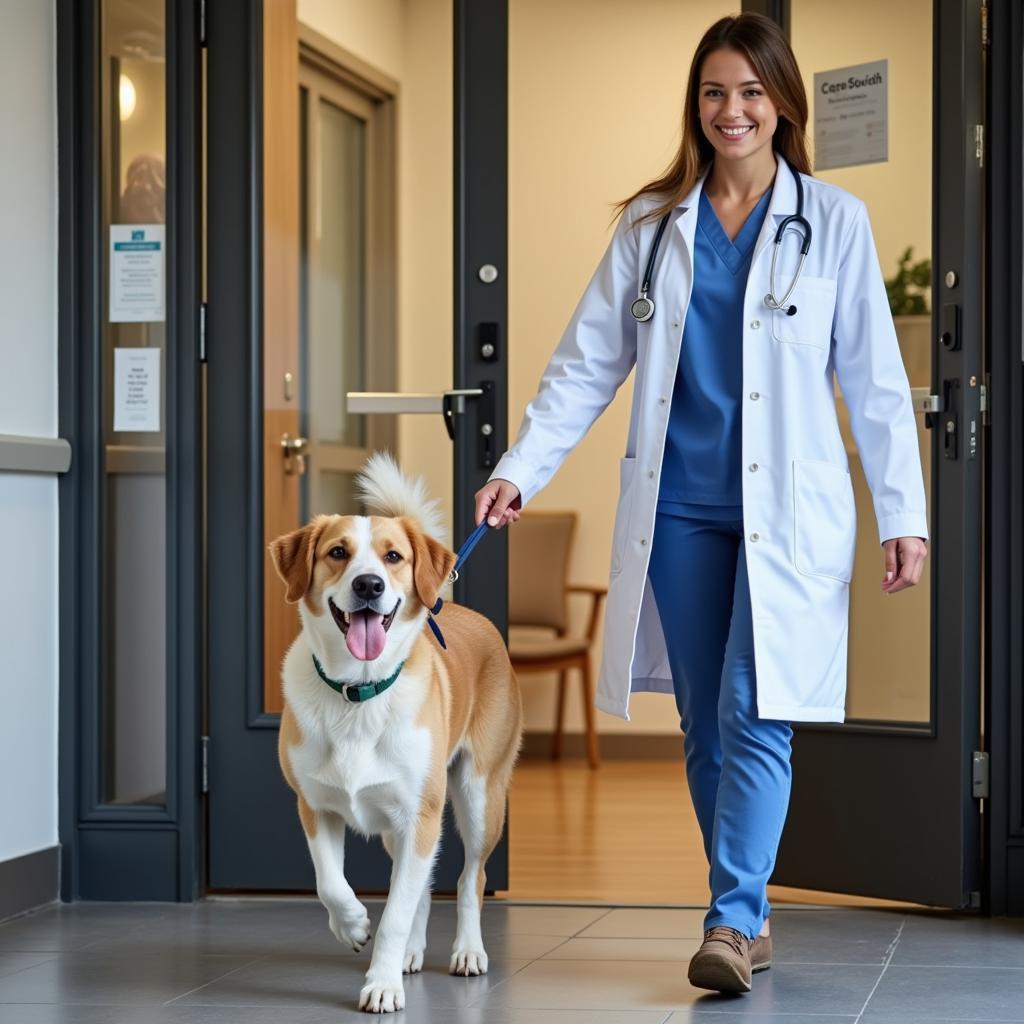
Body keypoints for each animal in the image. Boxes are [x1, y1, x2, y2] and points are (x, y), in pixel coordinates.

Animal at [268, 452, 524, 1011]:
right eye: (338, 552)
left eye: (393, 557)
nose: (369, 585)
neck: (358, 693)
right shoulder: (315, 807)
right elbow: (330, 883)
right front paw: (353, 926)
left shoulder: (419, 816)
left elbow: (399, 910)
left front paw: (381, 983)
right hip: (395, 827)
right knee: (423, 888)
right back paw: (411, 951)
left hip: (479, 796)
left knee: (470, 878)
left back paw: (467, 951)